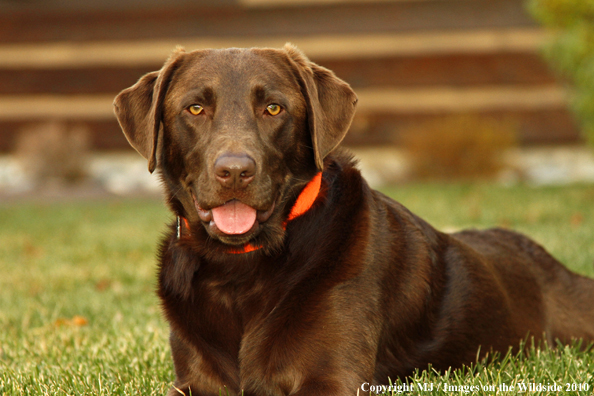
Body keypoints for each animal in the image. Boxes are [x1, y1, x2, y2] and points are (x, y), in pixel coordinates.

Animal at [114, 44, 592, 394]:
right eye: (195, 109)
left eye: (274, 109)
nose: (234, 171)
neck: (240, 269)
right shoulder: (193, 381)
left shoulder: (333, 377)